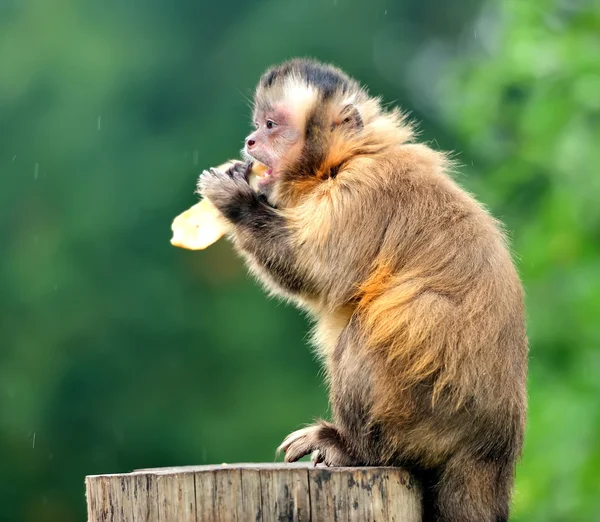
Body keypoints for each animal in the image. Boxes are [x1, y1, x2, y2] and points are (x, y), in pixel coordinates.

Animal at [199, 58, 528, 520]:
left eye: (271, 125)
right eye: (258, 125)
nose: (251, 140)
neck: (343, 159)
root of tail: (495, 445)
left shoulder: (364, 190)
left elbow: (315, 271)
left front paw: (235, 198)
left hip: (431, 416)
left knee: (374, 330)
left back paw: (356, 449)